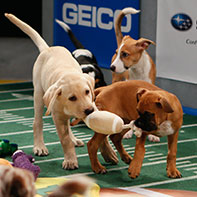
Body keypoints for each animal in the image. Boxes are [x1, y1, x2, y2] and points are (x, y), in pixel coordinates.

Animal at [5, 13, 95, 170]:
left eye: (87, 92)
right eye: (72, 97)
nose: (89, 110)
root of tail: (48, 49)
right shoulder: (57, 116)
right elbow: (65, 140)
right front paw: (70, 160)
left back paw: (74, 139)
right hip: (39, 95)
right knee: (37, 123)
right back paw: (40, 146)